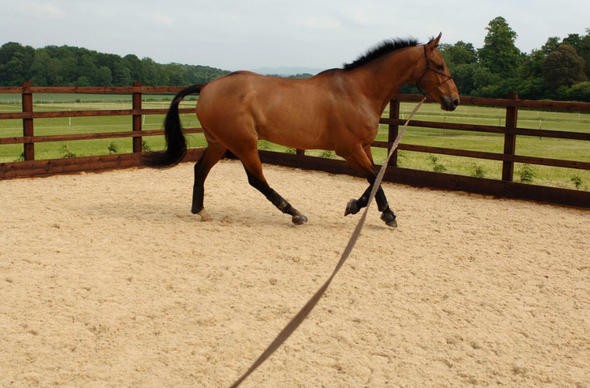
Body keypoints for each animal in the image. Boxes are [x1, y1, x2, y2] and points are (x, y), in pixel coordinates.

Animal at [145, 34, 462, 227]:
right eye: (438, 64)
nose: (454, 101)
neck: (358, 91)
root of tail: (208, 86)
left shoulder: (364, 147)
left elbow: (375, 179)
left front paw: (354, 206)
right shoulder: (348, 149)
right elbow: (375, 179)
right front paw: (388, 214)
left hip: (219, 143)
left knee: (200, 169)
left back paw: (200, 210)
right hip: (244, 143)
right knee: (257, 180)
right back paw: (295, 213)